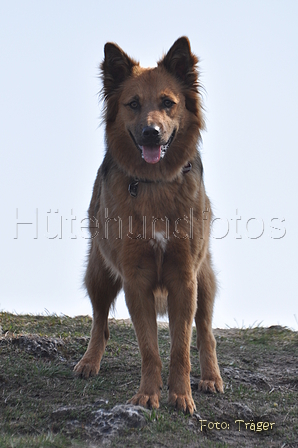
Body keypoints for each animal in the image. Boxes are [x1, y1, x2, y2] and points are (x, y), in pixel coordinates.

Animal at [74, 36, 224, 414]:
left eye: (168, 103)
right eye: (133, 104)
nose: (151, 133)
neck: (155, 184)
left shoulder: (184, 279)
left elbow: (181, 348)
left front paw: (181, 395)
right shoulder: (136, 280)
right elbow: (149, 349)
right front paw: (147, 395)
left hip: (204, 281)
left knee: (206, 332)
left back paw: (211, 377)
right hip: (98, 273)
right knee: (100, 322)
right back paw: (89, 361)